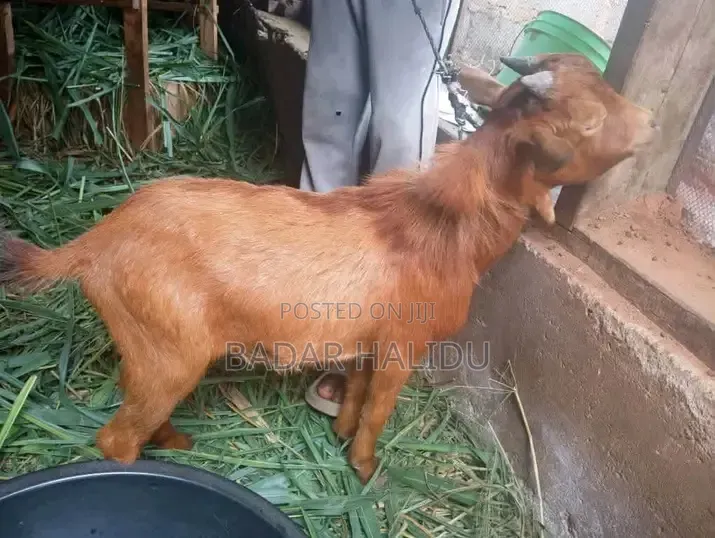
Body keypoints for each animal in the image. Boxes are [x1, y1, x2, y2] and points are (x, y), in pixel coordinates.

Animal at [0, 54, 656, 484]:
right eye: (589, 122)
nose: (651, 122)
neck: (443, 228)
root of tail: (94, 242)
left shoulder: (369, 339)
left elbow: (359, 391)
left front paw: (339, 433)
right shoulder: (404, 344)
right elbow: (381, 407)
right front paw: (367, 469)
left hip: (149, 350)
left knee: (136, 405)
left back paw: (176, 439)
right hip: (168, 352)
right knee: (114, 438)